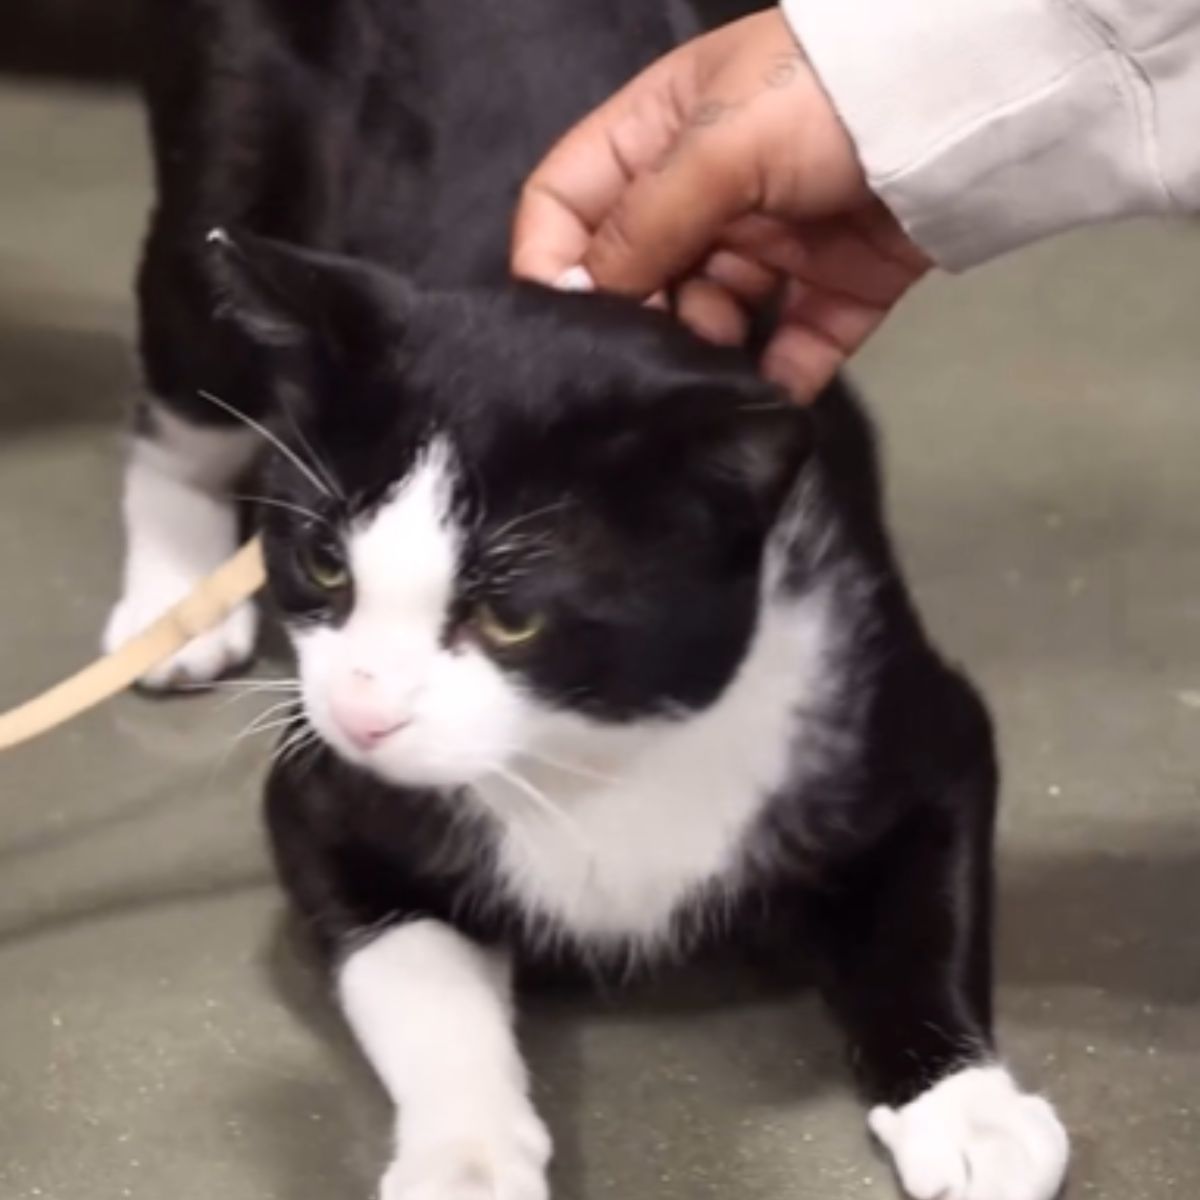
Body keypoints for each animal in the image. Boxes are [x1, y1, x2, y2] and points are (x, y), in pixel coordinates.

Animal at [110, 2, 1070, 1200]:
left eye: (512, 615)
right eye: (326, 564)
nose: (365, 711)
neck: (594, 751)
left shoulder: (890, 699)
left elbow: (924, 916)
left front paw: (969, 1106)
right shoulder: (320, 797)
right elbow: (411, 971)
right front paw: (467, 1153)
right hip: (228, 140)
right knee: (183, 376)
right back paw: (170, 601)